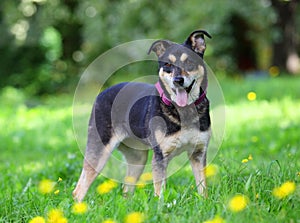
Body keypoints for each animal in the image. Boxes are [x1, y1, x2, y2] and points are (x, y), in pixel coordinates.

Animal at [73, 30, 212, 201]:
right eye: (168, 65)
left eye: (190, 62)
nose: (178, 80)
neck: (183, 109)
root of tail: (101, 93)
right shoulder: (160, 156)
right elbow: (160, 193)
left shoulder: (198, 153)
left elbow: (203, 188)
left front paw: (205, 202)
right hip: (99, 149)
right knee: (79, 190)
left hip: (137, 158)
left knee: (126, 189)